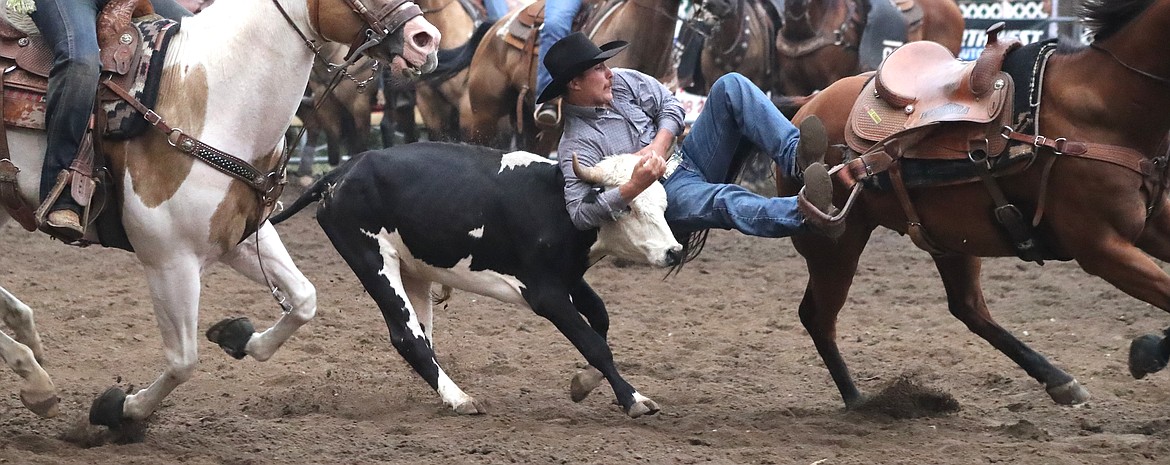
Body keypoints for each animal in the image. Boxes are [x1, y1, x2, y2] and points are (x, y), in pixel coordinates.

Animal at [0, 0, 439, 428]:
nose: (427, 40)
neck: (217, 103)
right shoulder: (170, 260)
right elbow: (184, 362)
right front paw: (120, 411)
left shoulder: (241, 238)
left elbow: (304, 300)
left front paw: (237, 336)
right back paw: (36, 380)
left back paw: (26, 336)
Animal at [781, 0, 1170, 405]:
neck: (1102, 110)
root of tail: (809, 106)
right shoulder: (1101, 249)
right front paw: (1147, 351)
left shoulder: (1153, 224)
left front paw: (1149, 351)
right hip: (835, 245)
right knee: (817, 316)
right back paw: (858, 400)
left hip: (949, 238)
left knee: (967, 307)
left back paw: (1057, 379)